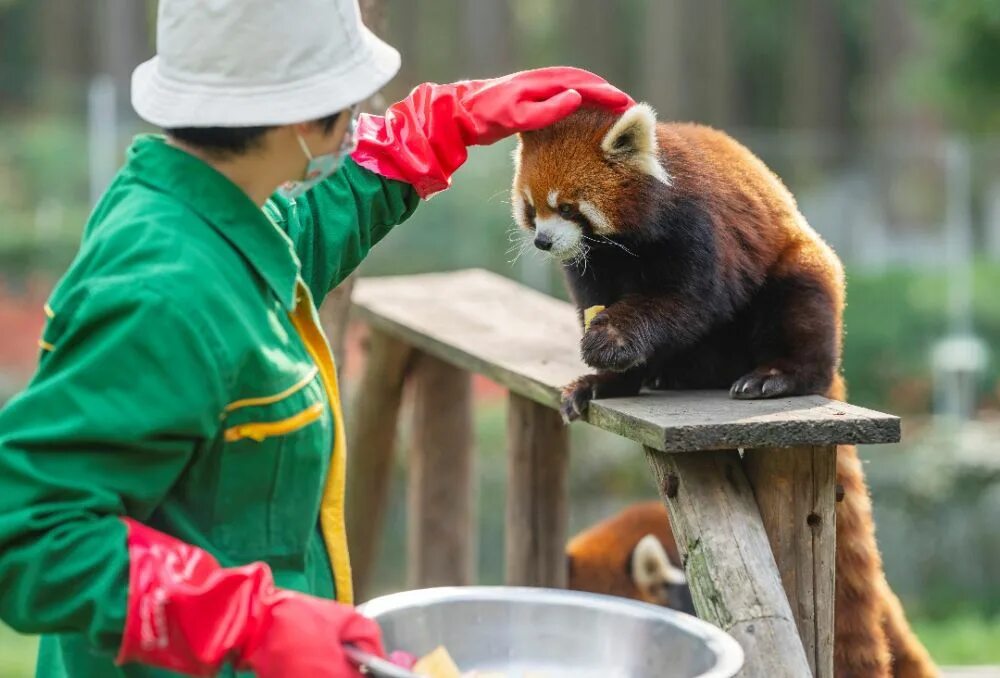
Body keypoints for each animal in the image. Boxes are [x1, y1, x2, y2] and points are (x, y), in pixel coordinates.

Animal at [516, 105, 936, 678]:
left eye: (566, 206)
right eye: (531, 208)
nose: (542, 241)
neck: (626, 239)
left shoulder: (698, 228)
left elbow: (689, 299)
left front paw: (614, 341)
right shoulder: (595, 263)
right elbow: (597, 296)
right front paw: (605, 380)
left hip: (802, 277)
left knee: (798, 302)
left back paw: (778, 375)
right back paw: (666, 376)